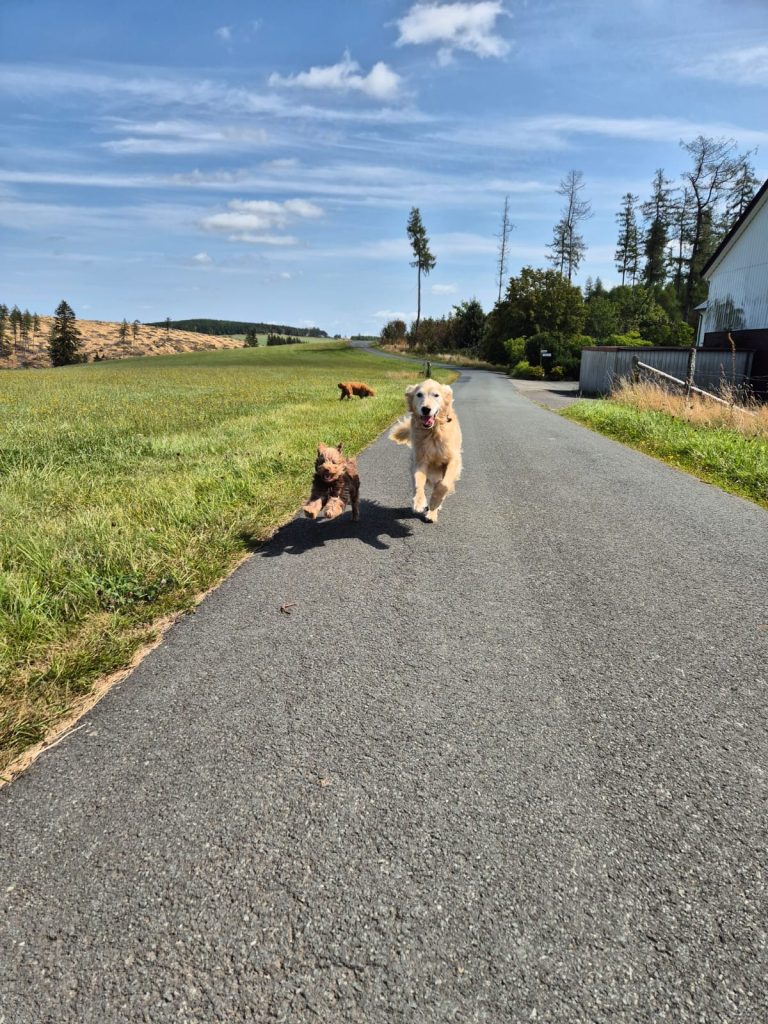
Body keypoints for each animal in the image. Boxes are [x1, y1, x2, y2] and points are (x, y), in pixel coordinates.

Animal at [391, 380, 462, 524]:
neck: (433, 430)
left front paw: (434, 503)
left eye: (436, 395)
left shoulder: (453, 460)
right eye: (419, 394)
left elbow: (444, 485)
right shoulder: (420, 461)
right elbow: (419, 483)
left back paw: (433, 513)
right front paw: (419, 503)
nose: (425, 409)